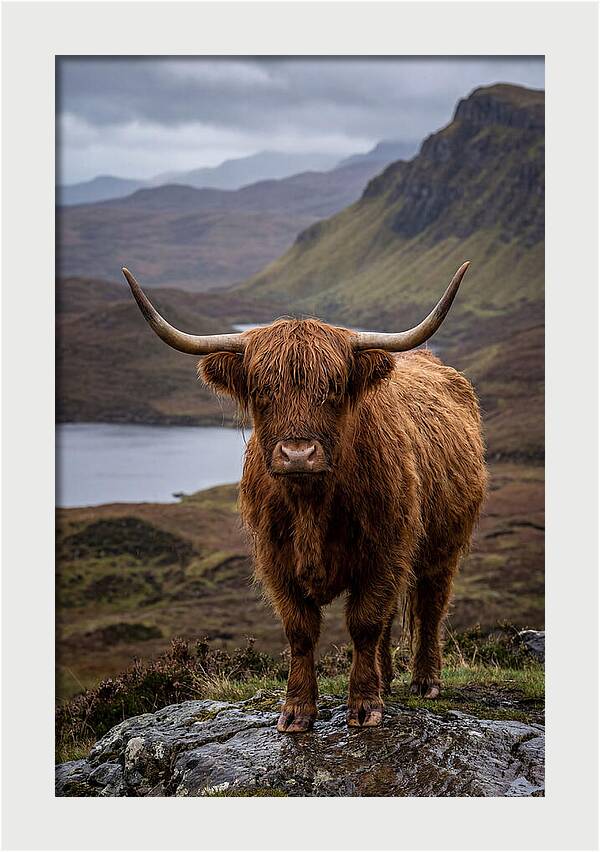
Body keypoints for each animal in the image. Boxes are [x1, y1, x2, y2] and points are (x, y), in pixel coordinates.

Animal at [123, 263, 487, 732]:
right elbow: (301, 630)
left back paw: (426, 682)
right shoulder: (276, 558)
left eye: (333, 387)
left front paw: (364, 706)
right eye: (262, 389)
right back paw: (387, 679)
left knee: (430, 606)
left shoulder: (385, 551)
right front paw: (297, 710)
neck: (311, 504)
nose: (298, 453)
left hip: (443, 546)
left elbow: (364, 622)